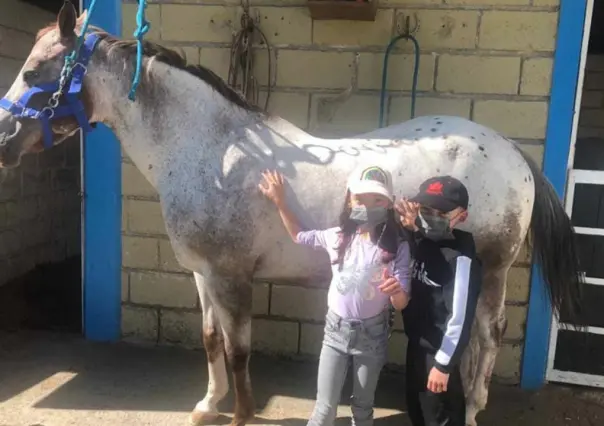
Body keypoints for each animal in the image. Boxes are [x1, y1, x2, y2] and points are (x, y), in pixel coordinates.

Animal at [0, 4, 584, 426]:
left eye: (33, 70)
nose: (4, 143)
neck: (215, 150)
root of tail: (511, 151)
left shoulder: (232, 277)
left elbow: (238, 350)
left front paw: (240, 414)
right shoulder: (203, 275)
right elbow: (211, 341)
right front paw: (207, 406)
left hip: (492, 268)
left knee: (486, 335)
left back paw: (474, 408)